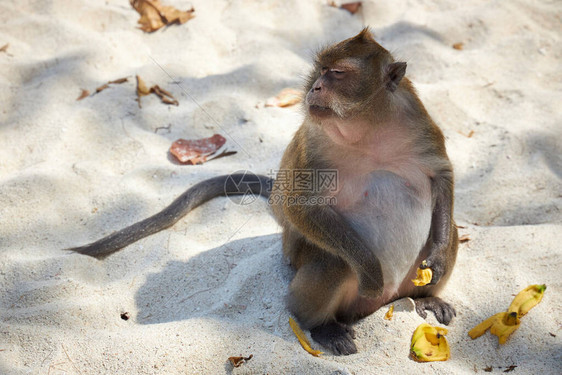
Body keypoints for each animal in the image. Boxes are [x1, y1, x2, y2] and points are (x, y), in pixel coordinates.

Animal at [69, 28, 456, 356]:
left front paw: (436, 257)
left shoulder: (419, 122)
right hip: (305, 266)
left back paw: (426, 297)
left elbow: (441, 176)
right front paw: (372, 272)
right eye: (320, 71)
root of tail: (383, 303)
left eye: (337, 73)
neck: (367, 127)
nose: (315, 88)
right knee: (333, 262)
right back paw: (322, 325)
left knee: (450, 232)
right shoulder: (313, 142)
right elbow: (300, 206)